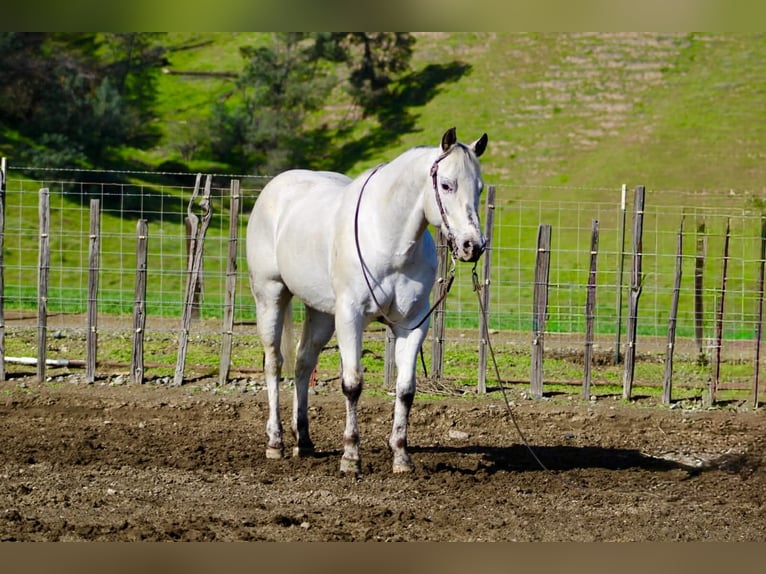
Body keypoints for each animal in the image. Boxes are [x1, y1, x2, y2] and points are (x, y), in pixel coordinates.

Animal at [245, 127, 488, 474]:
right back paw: (275, 442)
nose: (472, 246)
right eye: (446, 184)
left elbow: (405, 389)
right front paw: (351, 457)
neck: (389, 239)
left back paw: (303, 441)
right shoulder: (351, 316)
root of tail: (273, 188)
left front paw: (401, 456)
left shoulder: (413, 324)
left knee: (304, 362)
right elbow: (352, 384)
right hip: (270, 296)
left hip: (320, 313)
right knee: (274, 363)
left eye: (479, 188)